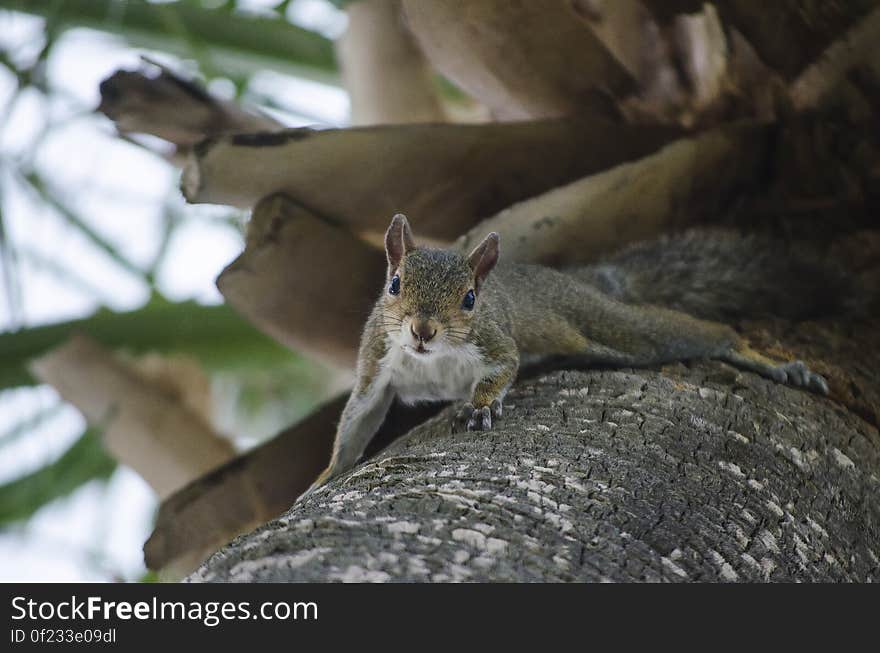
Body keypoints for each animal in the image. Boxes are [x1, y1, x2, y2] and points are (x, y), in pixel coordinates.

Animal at [304, 214, 832, 494]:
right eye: (394, 285)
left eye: (470, 299)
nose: (421, 330)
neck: (433, 359)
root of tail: (585, 282)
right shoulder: (376, 361)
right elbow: (359, 419)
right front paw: (326, 475)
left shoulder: (497, 341)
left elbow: (503, 369)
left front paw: (480, 406)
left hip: (612, 325)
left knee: (699, 333)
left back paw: (775, 363)